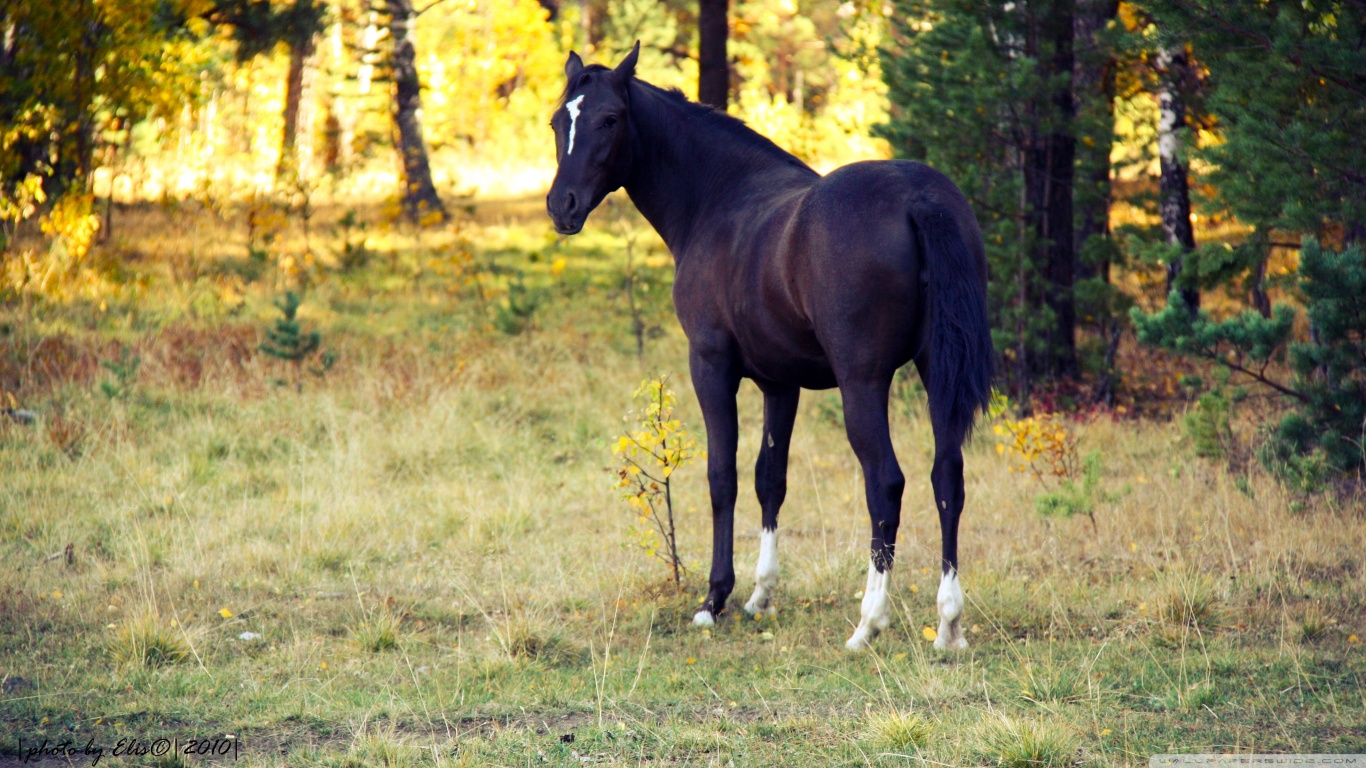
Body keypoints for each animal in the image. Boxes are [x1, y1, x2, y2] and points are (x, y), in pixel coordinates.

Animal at [546, 44, 994, 647]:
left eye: (610, 119)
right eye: (558, 122)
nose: (562, 206)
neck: (719, 200)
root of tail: (920, 198)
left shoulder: (711, 366)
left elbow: (723, 477)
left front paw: (715, 598)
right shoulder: (781, 383)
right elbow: (770, 479)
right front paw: (761, 595)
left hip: (863, 383)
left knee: (886, 484)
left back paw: (867, 623)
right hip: (935, 371)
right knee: (947, 476)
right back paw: (948, 624)